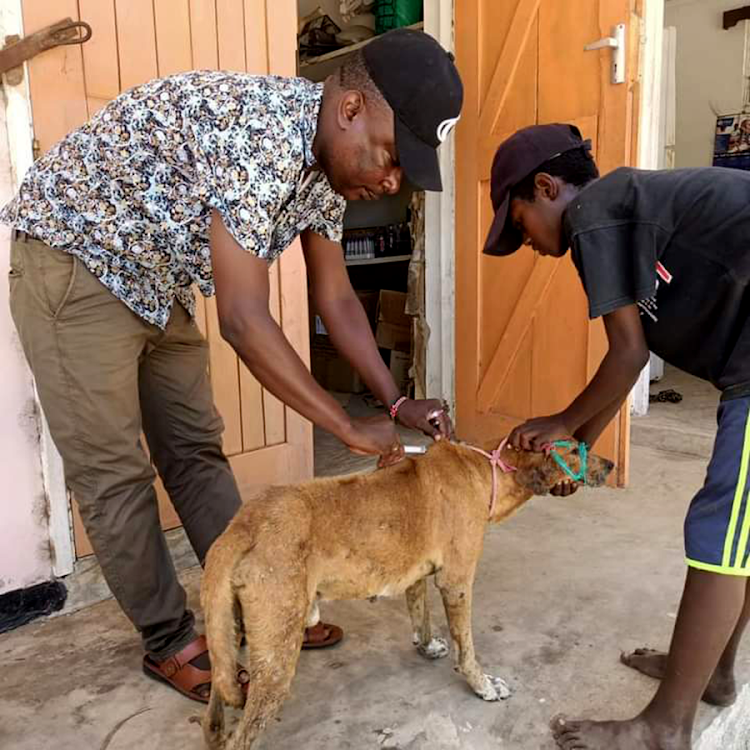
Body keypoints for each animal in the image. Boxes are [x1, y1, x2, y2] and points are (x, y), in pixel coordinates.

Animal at [201, 438, 616, 748]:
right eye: (574, 448)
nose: (612, 465)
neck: (490, 471)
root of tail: (241, 527)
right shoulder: (457, 583)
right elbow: (467, 647)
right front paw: (482, 686)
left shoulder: (415, 575)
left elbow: (421, 616)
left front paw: (427, 646)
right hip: (277, 657)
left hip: (227, 638)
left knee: (215, 715)